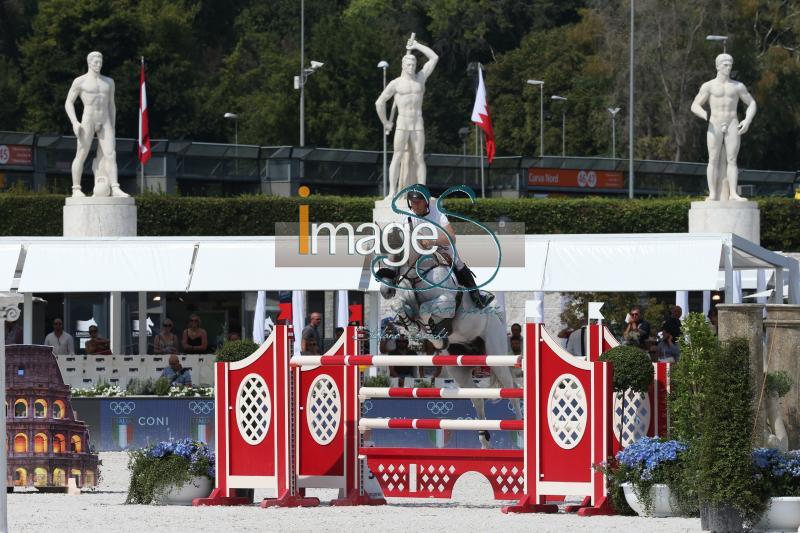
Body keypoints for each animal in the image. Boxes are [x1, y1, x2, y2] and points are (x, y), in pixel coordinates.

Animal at [374, 246, 520, 448]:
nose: (385, 291)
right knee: (478, 397)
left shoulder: (447, 303)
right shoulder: (406, 302)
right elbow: (400, 307)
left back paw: (520, 432)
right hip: (459, 369)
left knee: (511, 389)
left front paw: (434, 336)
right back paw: (484, 441)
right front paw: (415, 329)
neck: (416, 276)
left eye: (397, 255)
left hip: (495, 356)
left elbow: (425, 310)